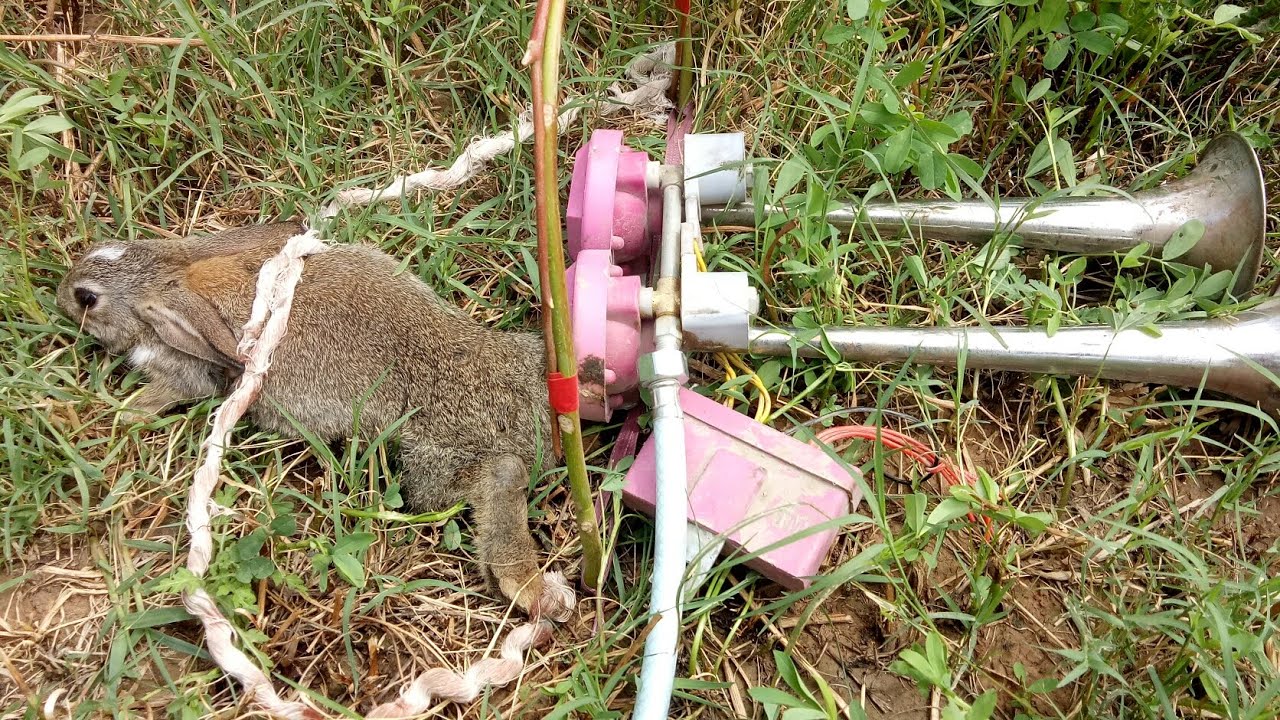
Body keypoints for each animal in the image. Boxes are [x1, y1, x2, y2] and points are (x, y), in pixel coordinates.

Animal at [56, 221, 557, 617]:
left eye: (88, 298)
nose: (61, 295)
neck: (164, 276)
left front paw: (123, 413)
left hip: (431, 463)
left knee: (493, 475)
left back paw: (525, 586)